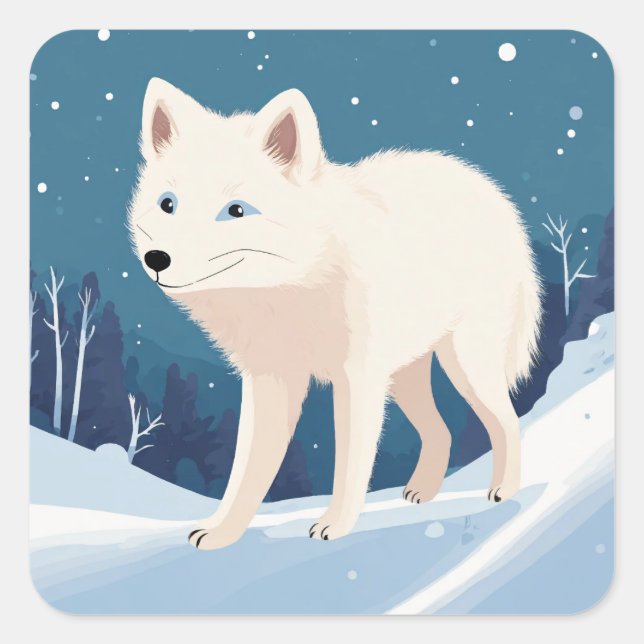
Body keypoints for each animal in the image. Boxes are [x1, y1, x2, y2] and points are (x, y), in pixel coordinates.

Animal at [128, 77, 542, 550]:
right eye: (168, 204)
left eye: (236, 211)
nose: (158, 259)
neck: (290, 288)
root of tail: (493, 192)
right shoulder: (271, 380)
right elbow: (246, 472)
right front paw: (222, 532)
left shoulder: (355, 380)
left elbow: (349, 465)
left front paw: (335, 526)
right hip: (404, 376)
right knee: (442, 430)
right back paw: (423, 492)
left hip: (464, 367)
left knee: (506, 420)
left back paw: (504, 489)